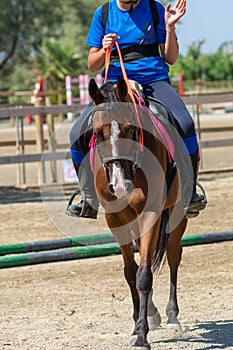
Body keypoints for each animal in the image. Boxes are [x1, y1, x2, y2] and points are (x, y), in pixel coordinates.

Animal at [87, 75, 187, 348]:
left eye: (131, 130)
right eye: (97, 133)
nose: (121, 186)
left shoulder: (151, 213)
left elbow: (144, 275)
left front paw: (142, 334)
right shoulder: (115, 218)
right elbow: (131, 272)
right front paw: (137, 325)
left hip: (176, 216)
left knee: (173, 256)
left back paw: (172, 316)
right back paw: (152, 312)